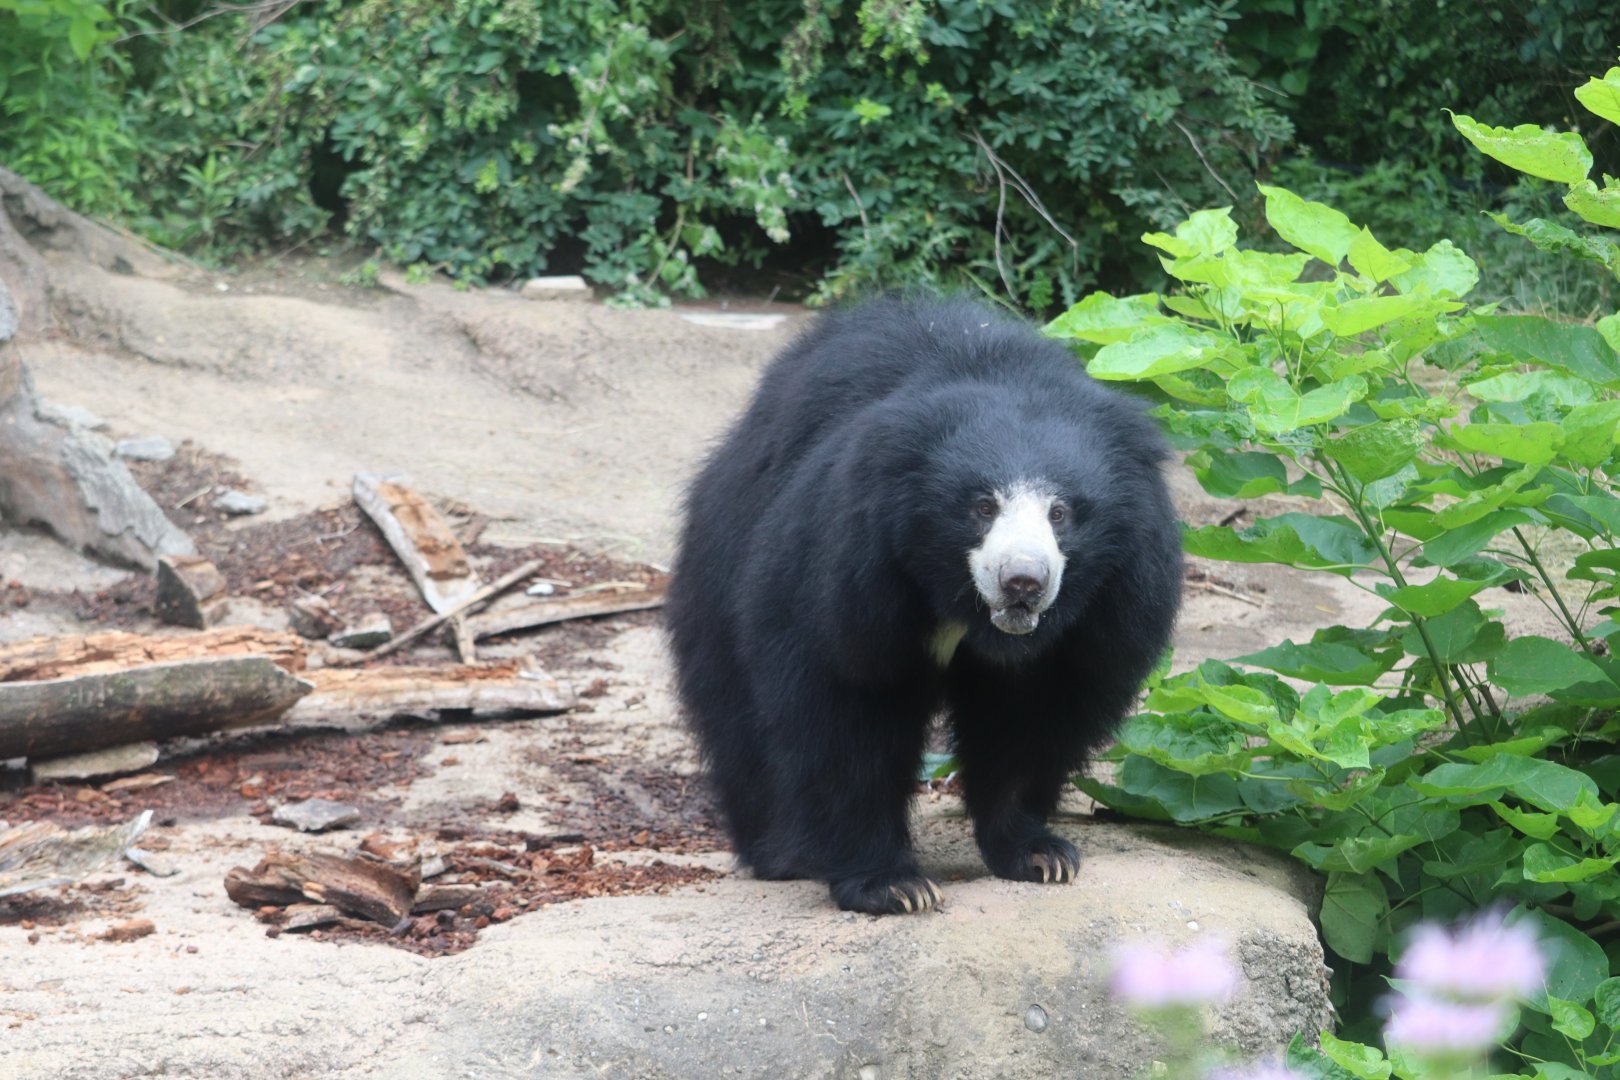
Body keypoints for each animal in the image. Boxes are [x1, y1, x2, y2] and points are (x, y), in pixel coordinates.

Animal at [665, 294, 1183, 915]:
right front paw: (893, 885)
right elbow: (846, 707)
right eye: (983, 507)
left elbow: (1032, 713)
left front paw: (1040, 854)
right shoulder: (848, 575)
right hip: (721, 569)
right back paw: (781, 852)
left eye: (1061, 513)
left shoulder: (1106, 609)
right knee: (740, 719)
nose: (1023, 582)